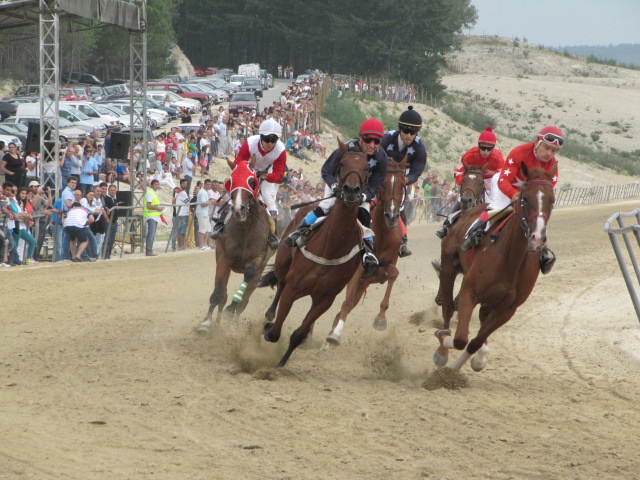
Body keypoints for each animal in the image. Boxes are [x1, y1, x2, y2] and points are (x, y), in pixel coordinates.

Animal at [196, 158, 274, 334]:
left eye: (252, 181)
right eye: (230, 182)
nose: (239, 210)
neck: (245, 230)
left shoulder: (258, 258)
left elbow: (248, 276)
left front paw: (231, 312)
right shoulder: (224, 258)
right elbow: (218, 294)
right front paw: (206, 323)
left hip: (259, 273)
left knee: (244, 302)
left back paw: (232, 325)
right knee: (223, 296)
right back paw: (217, 323)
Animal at [258, 141, 370, 366]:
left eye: (367, 168)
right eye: (342, 164)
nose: (351, 190)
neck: (331, 247)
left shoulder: (325, 299)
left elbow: (298, 334)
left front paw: (281, 364)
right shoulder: (294, 287)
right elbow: (275, 332)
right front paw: (268, 328)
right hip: (283, 262)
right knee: (280, 284)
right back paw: (269, 314)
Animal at [324, 156, 410, 346]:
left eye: (403, 184)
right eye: (383, 184)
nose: (391, 216)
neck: (382, 235)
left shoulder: (382, 268)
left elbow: (393, 273)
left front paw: (381, 319)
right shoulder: (358, 269)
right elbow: (347, 302)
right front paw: (335, 335)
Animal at [436, 164, 556, 372]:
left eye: (553, 200)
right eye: (525, 198)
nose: (537, 238)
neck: (511, 259)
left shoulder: (507, 309)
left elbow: (475, 341)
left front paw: (470, 363)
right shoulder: (470, 291)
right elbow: (460, 339)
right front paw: (446, 350)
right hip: (448, 267)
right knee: (448, 308)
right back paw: (443, 344)